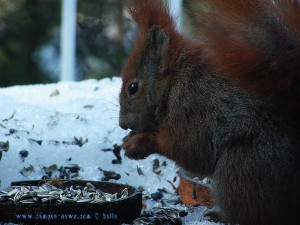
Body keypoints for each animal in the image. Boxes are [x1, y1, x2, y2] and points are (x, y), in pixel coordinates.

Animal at [119, 0, 300, 224]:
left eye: (133, 88)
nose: (122, 124)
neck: (174, 82)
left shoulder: (195, 105)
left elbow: (190, 149)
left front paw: (139, 143)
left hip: (244, 168)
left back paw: (219, 215)